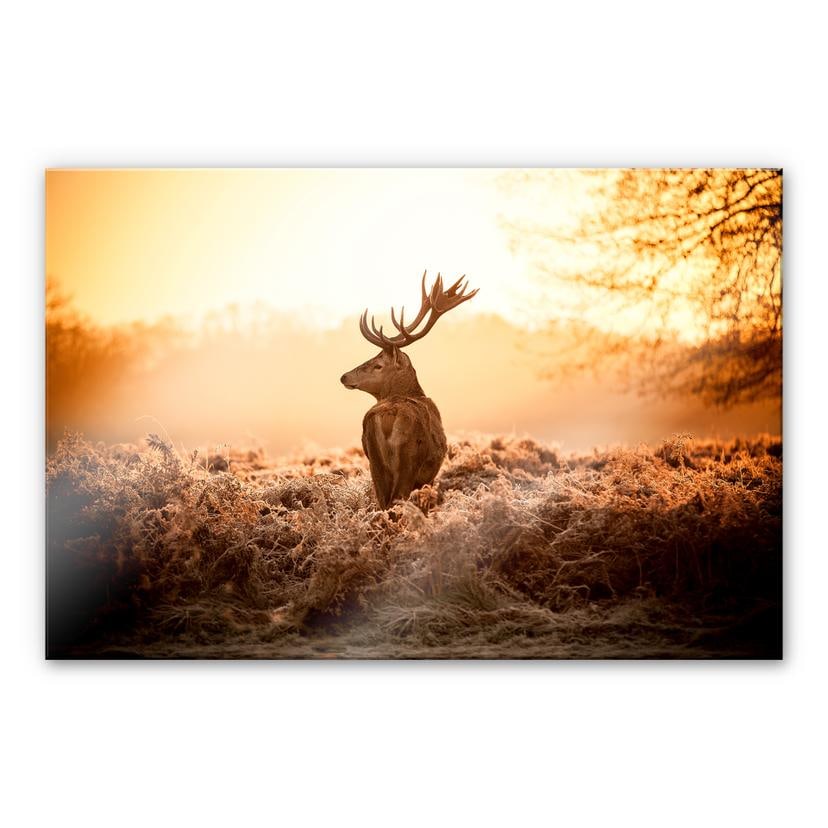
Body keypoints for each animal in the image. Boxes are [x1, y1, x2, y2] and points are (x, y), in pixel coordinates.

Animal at [340, 271, 478, 509]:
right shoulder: (428, 475)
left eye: (378, 365)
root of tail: (388, 415)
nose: (344, 376)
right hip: (409, 461)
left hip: (374, 463)